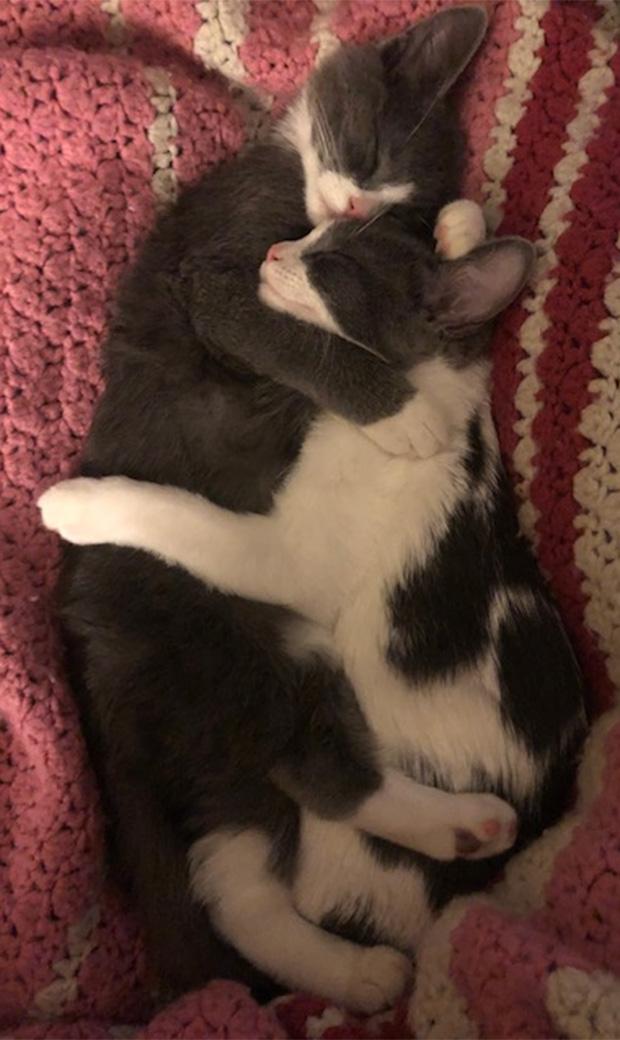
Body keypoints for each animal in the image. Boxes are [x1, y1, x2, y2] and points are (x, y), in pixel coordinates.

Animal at [40, 4, 586, 1015]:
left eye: (339, 261)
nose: (289, 246)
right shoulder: (216, 266)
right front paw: (462, 232)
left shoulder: (289, 548)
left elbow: (201, 501)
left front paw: (86, 504)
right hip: (226, 689)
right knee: (236, 870)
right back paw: (370, 959)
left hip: (261, 657)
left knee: (313, 782)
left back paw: (457, 835)